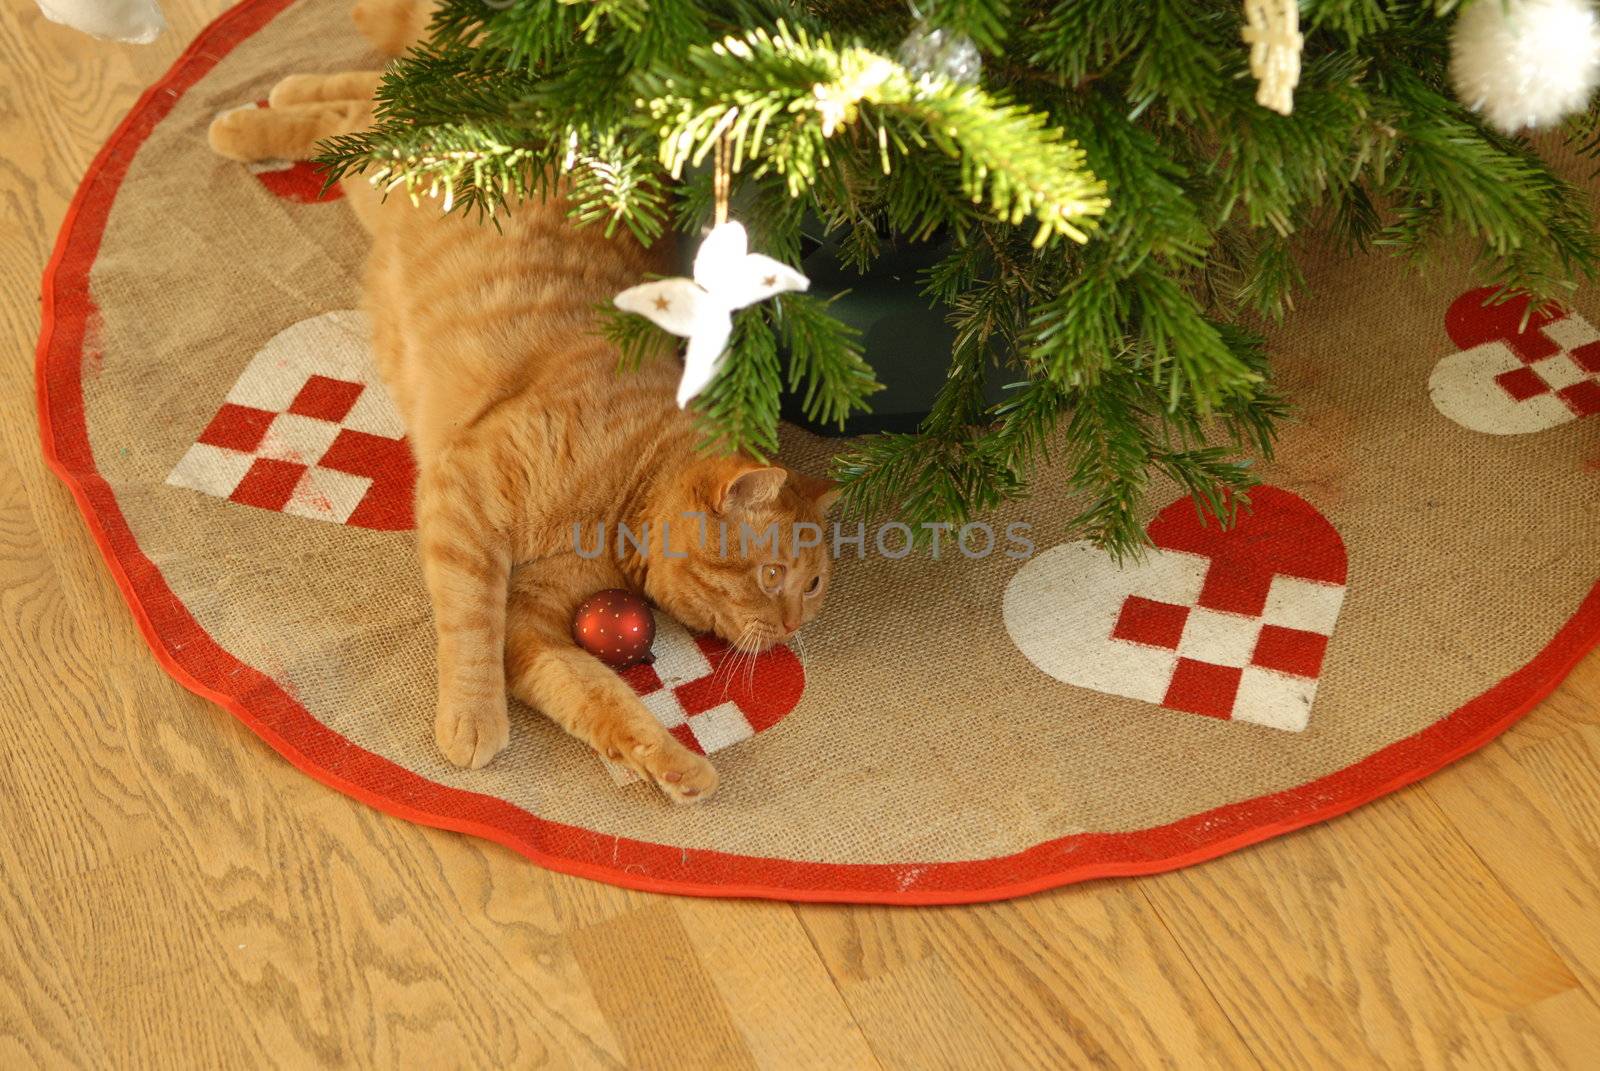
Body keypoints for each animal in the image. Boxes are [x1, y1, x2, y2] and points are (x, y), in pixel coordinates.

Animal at [209, 0, 838, 800]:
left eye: (813, 585)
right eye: (774, 577)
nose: (790, 627)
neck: (618, 506)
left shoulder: (532, 626)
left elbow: (596, 693)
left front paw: (667, 760)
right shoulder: (467, 503)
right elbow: (468, 627)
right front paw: (473, 720)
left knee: (370, 89)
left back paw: (287, 90)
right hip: (382, 165)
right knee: (353, 112)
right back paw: (242, 126)